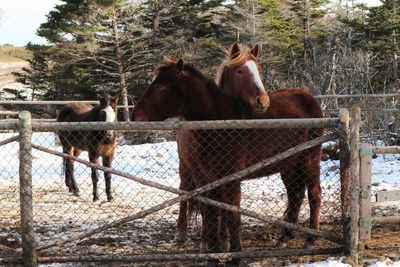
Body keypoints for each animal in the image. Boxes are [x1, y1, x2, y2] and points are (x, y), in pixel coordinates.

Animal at [136, 58, 324, 260]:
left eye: (159, 86)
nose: (135, 114)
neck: (221, 123)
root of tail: (310, 98)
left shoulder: (231, 178)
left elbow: (232, 214)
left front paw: (233, 251)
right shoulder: (208, 178)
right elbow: (211, 211)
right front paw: (212, 248)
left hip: (310, 159)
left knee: (314, 195)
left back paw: (311, 240)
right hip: (288, 166)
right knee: (295, 195)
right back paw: (284, 238)